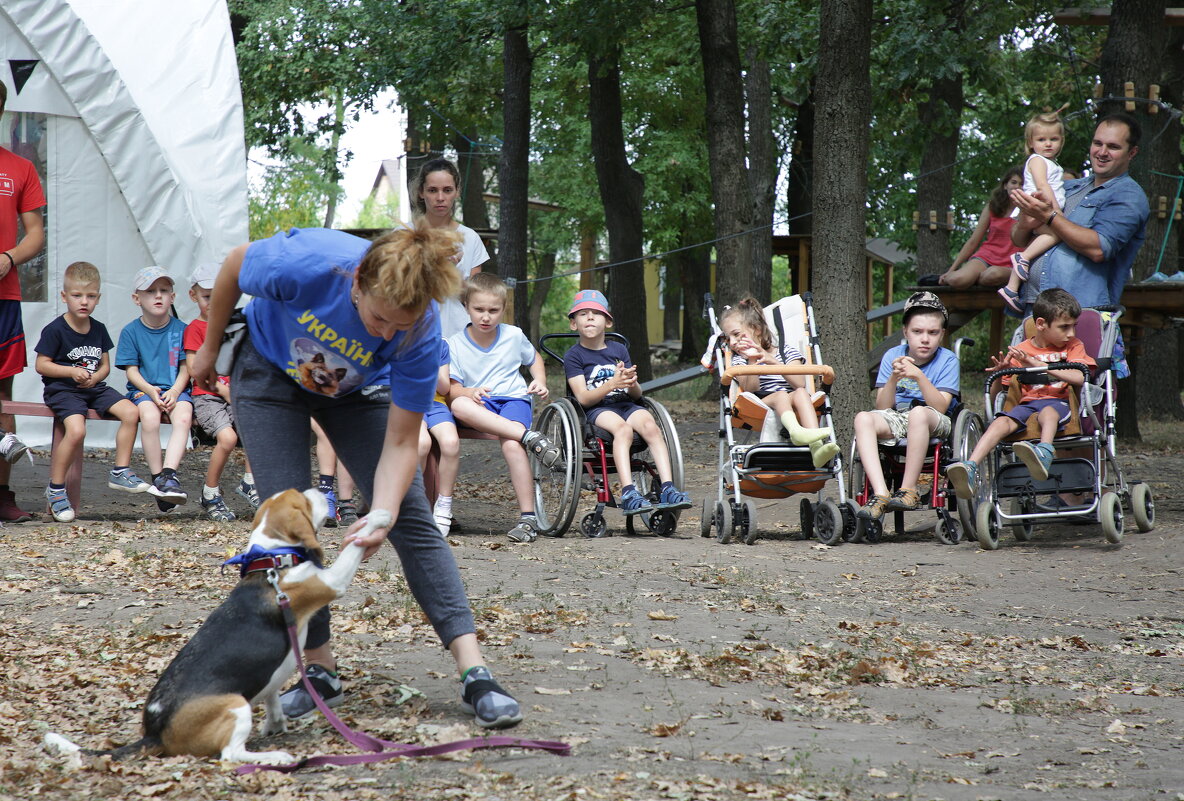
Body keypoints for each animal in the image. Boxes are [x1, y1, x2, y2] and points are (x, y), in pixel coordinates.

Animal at [46, 487, 390, 761]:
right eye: (304, 500)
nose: (321, 490)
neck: (271, 560)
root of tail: (155, 732)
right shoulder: (332, 582)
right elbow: (353, 548)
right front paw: (378, 517)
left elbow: (272, 694)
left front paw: (276, 724)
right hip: (236, 705)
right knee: (230, 755)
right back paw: (273, 758)